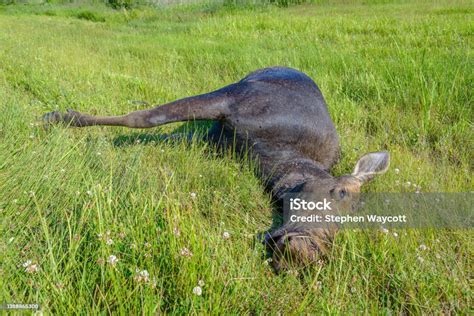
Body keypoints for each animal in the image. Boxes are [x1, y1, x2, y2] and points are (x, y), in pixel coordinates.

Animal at [43, 66, 388, 272]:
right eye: (339, 192)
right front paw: (61, 117)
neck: (275, 161)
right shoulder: (230, 101)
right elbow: (145, 117)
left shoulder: (215, 139)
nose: (309, 252)